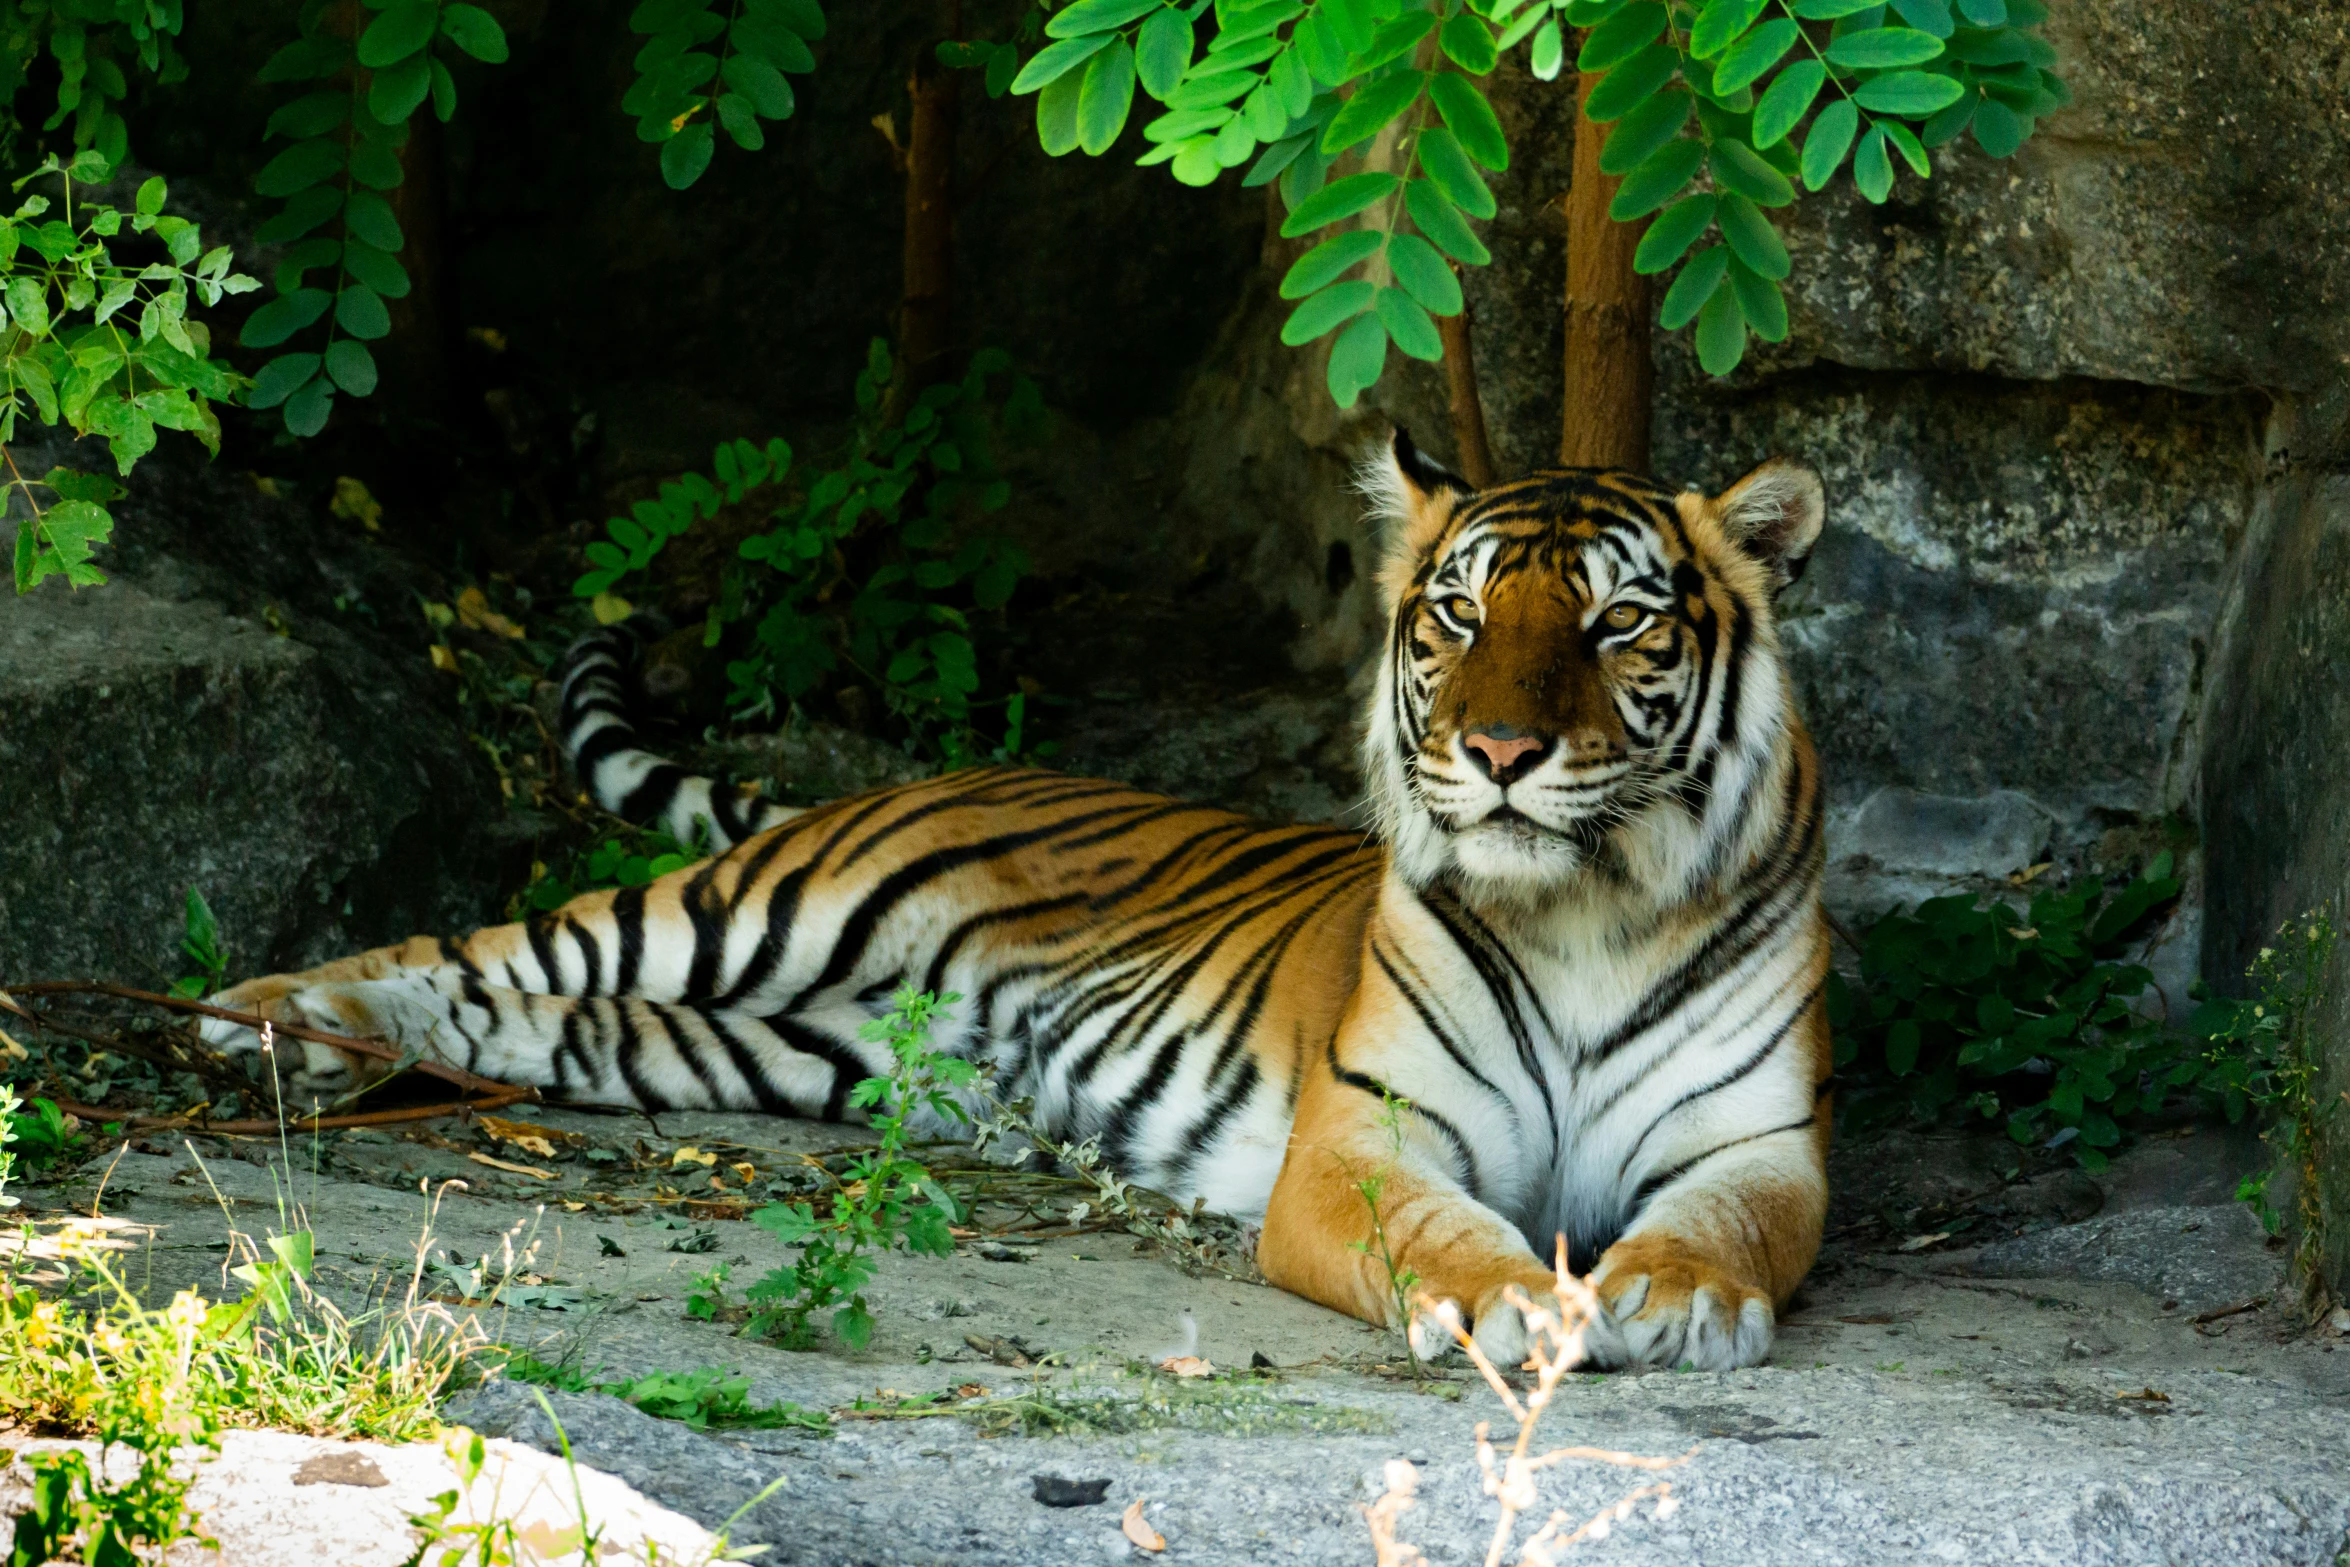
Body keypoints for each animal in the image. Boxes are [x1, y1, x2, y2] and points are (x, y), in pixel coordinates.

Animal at [206, 432, 1832, 1372]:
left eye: (1617, 621)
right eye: (1457, 612)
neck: (1583, 912)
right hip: (753, 910)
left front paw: (1674, 1298)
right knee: (483, 942)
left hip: (795, 1048)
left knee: (539, 1019)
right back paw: (267, 1016)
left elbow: (1729, 1227)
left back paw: (339, 1049)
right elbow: (1435, 1236)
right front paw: (1517, 1302)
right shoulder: (1361, 1141)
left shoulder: (1759, 1144)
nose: (1497, 754)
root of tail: (937, 772)